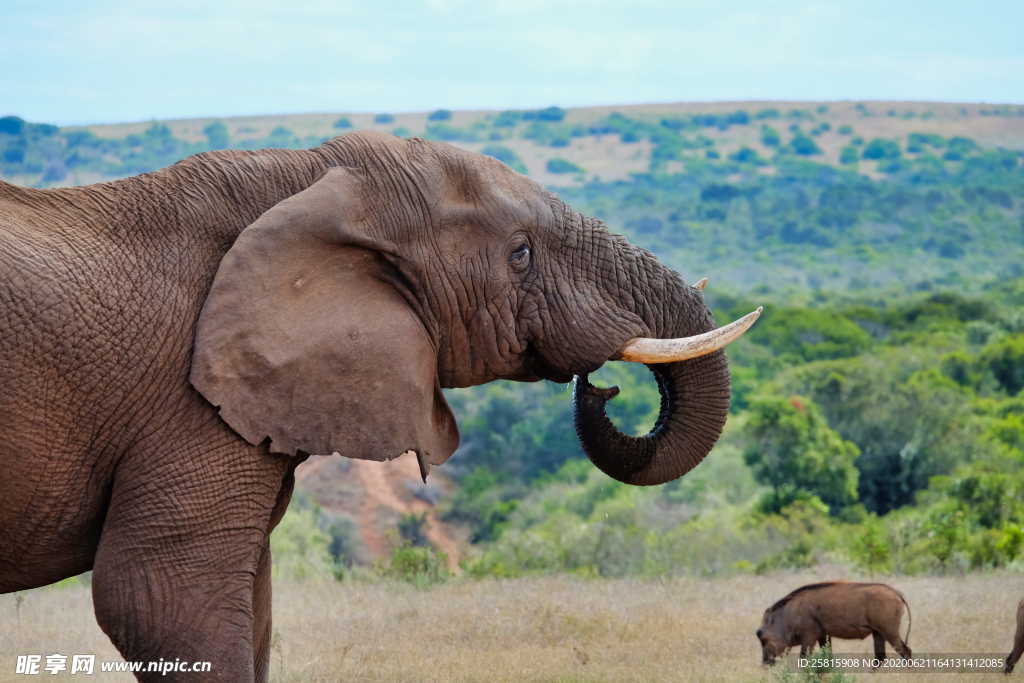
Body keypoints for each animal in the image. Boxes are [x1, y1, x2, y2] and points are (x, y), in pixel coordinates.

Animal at [0, 129, 753, 679]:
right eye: (520, 254)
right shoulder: (187, 402)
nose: (601, 388)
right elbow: (158, 598)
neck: (307, 177)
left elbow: (251, 609)